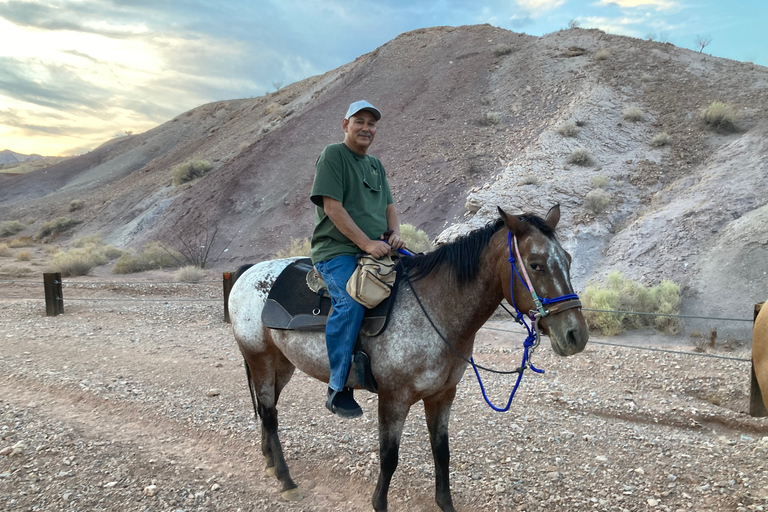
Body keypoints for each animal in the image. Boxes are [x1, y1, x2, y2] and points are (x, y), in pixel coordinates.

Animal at [228, 205, 588, 512]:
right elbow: (389, 458)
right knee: (269, 413)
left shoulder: (442, 395)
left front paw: (445, 503)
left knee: (269, 409)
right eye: (536, 263)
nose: (576, 335)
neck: (434, 309)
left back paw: (269, 461)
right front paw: (379, 503)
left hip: (282, 364)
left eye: (568, 259)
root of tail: (247, 273)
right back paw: (286, 480)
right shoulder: (393, 399)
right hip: (259, 358)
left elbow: (442, 452)